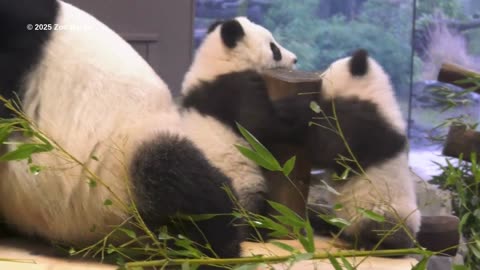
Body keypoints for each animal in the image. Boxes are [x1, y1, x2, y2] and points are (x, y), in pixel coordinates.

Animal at [308, 49, 420, 250]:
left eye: (324, 73)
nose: (316, 78)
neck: (371, 92)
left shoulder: (363, 124)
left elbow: (326, 148)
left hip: (385, 211)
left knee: (382, 227)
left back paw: (370, 244)